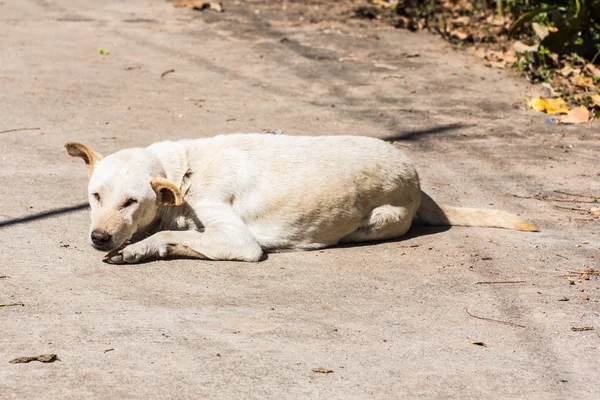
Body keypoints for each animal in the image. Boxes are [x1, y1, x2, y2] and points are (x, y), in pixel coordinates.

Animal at [64, 134, 536, 264]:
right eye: (95, 196)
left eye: (131, 202)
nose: (99, 238)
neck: (183, 174)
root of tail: (419, 181)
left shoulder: (240, 242)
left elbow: (175, 238)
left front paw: (142, 248)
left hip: (377, 222)